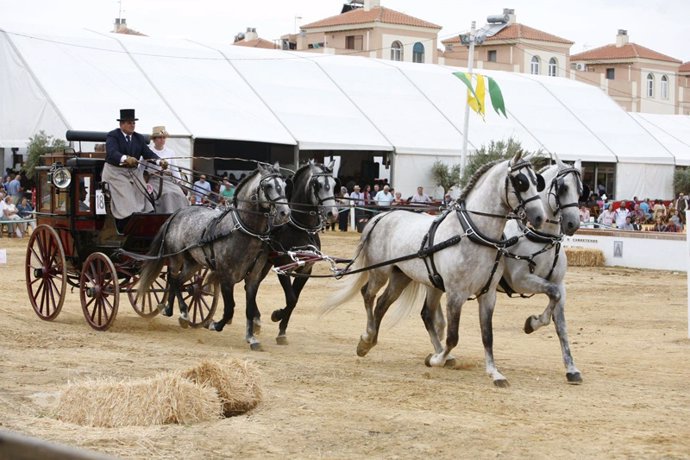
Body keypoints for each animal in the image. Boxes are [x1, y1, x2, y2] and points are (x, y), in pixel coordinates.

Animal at [137, 162, 290, 348]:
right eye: (268, 186)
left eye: (284, 185)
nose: (285, 213)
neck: (242, 230)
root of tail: (177, 213)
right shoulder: (226, 277)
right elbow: (230, 308)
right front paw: (215, 325)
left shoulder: (253, 278)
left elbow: (249, 308)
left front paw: (251, 338)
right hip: (175, 257)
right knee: (172, 279)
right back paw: (182, 313)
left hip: (193, 263)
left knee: (178, 281)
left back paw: (173, 310)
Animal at [322, 152, 544, 388]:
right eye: (521, 182)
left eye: (536, 180)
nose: (540, 217)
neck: (473, 233)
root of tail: (381, 217)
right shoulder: (455, 294)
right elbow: (453, 336)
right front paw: (436, 359)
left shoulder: (488, 294)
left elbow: (487, 335)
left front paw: (495, 373)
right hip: (381, 272)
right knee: (369, 295)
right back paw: (367, 339)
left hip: (402, 277)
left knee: (386, 305)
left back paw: (372, 340)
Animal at [494, 159, 580, 384]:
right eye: (563, 187)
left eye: (581, 189)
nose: (573, 224)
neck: (540, 237)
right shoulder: (521, 280)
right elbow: (552, 297)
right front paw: (532, 323)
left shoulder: (559, 284)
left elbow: (561, 324)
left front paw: (571, 368)